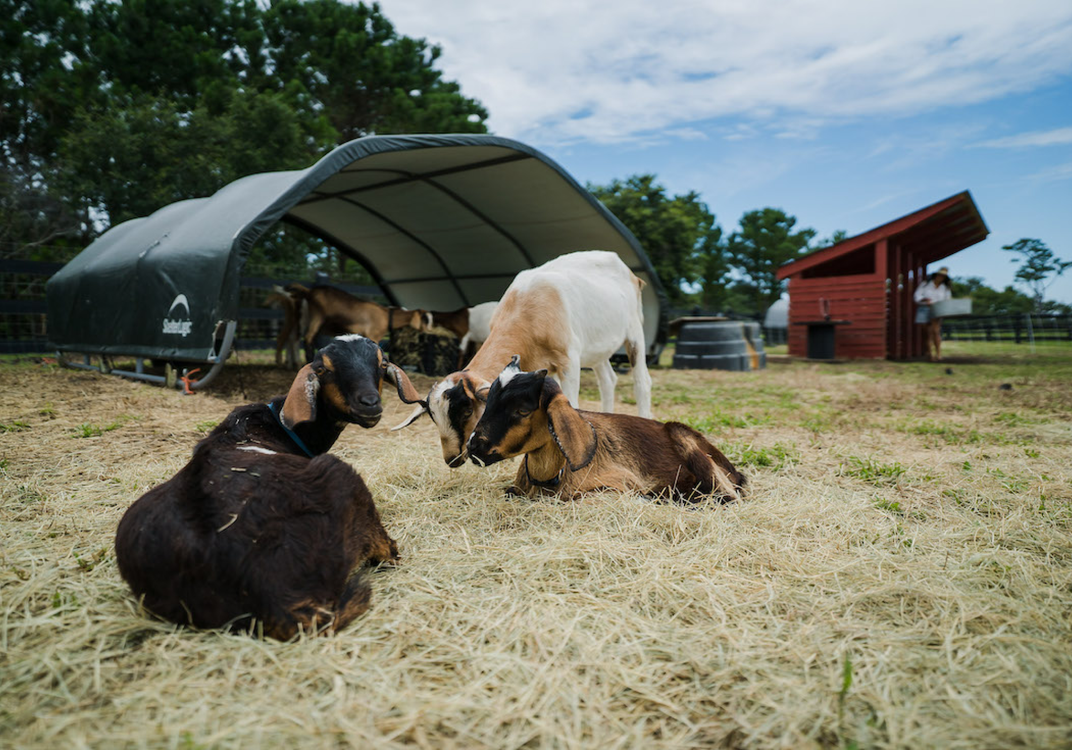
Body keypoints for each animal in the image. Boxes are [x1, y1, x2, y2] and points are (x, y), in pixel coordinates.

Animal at [116, 336, 418, 638]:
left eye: (382, 364)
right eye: (323, 370)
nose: (370, 403)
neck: (275, 426)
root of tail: (273, 598)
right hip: (345, 481)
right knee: (387, 552)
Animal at [469, 357, 746, 503]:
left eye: (522, 411)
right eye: (489, 400)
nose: (473, 446)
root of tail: (733, 470)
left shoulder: (619, 485)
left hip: (686, 440)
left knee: (726, 496)